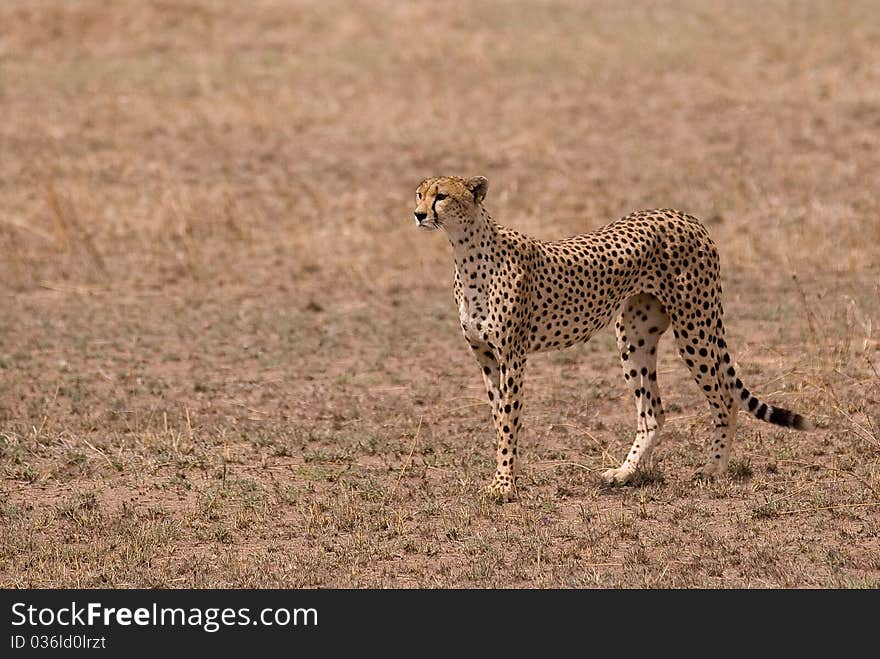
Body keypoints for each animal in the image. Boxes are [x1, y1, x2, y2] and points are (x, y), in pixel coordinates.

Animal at [412, 175, 812, 500]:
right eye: (419, 193)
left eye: (441, 196)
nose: (417, 214)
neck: (467, 251)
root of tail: (684, 215)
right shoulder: (485, 357)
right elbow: (499, 420)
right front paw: (503, 477)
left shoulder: (512, 357)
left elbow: (509, 421)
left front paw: (504, 486)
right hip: (633, 335)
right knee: (653, 412)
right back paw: (624, 473)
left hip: (695, 327)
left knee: (725, 400)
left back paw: (713, 469)